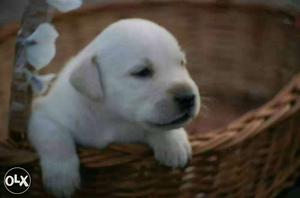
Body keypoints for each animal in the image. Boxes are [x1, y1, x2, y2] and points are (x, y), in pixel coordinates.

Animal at [28, 18, 202, 196]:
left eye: (181, 63)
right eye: (142, 72)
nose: (188, 97)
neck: (112, 118)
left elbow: (161, 127)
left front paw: (174, 144)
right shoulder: (42, 114)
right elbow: (54, 137)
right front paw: (61, 178)